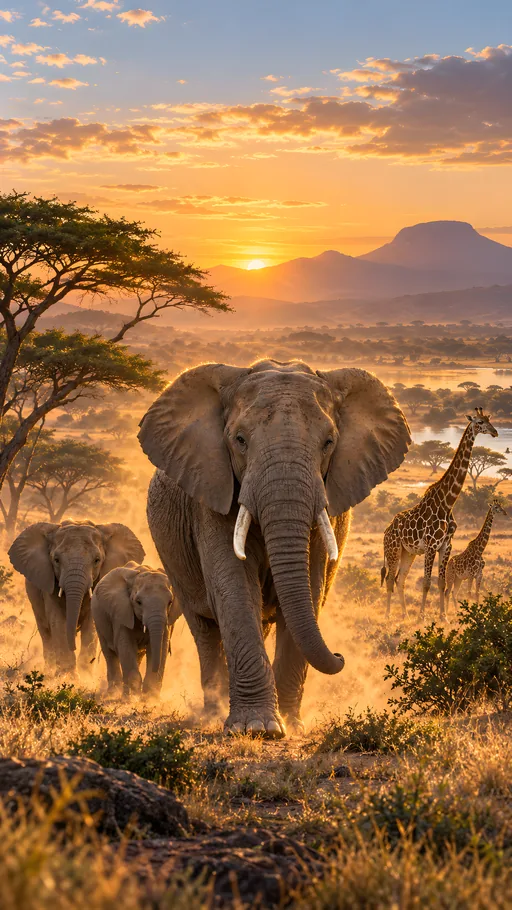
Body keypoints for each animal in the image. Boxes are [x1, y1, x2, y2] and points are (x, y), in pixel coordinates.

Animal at [8, 520, 145, 675]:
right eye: (56, 560)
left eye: (97, 560)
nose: (72, 646)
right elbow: (57, 621)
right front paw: (69, 676)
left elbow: (91, 625)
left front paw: (85, 673)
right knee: (46, 633)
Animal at [92, 562, 181, 696]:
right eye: (138, 602)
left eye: (170, 602)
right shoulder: (121, 612)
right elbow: (125, 645)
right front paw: (131, 698)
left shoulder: (168, 621)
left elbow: (162, 646)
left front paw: (149, 698)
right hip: (98, 619)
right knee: (109, 653)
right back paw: (113, 694)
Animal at [138, 359, 410, 736]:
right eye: (239, 440)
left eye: (328, 442)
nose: (340, 656)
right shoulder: (212, 493)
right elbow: (233, 588)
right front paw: (256, 728)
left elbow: (310, 588)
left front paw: (290, 725)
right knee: (205, 628)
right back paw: (213, 711)